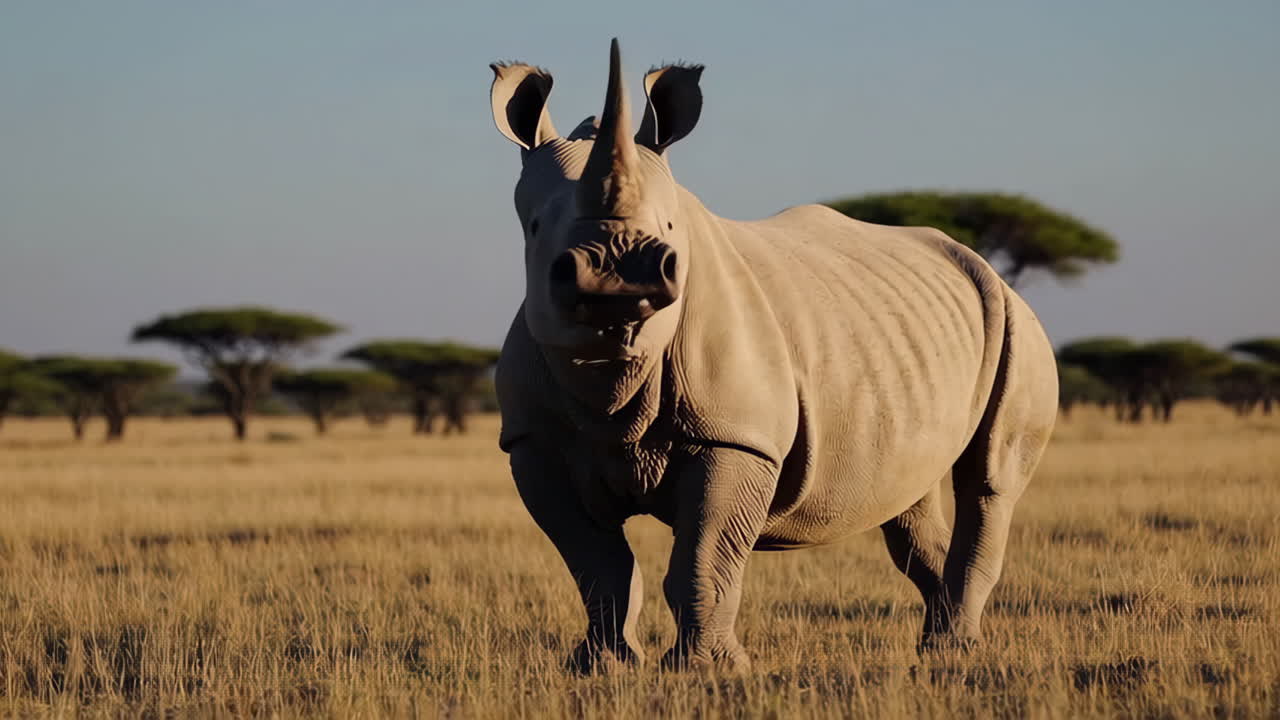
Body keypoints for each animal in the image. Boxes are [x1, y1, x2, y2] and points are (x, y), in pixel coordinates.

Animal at [489, 39, 1058, 672]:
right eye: (536, 227)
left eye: (670, 226)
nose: (616, 276)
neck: (612, 371)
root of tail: (977, 262)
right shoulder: (534, 443)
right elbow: (598, 567)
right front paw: (601, 667)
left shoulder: (735, 435)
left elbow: (703, 558)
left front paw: (707, 671)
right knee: (910, 495)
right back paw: (938, 649)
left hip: (1014, 321)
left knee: (989, 481)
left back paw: (955, 652)